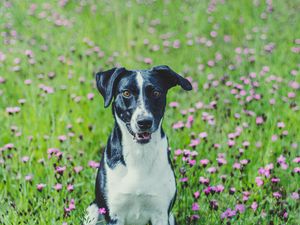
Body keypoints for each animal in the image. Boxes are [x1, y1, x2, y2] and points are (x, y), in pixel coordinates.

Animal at [84, 65, 192, 225]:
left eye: (156, 92)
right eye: (126, 93)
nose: (144, 122)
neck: (139, 153)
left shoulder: (161, 213)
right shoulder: (114, 215)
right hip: (93, 209)